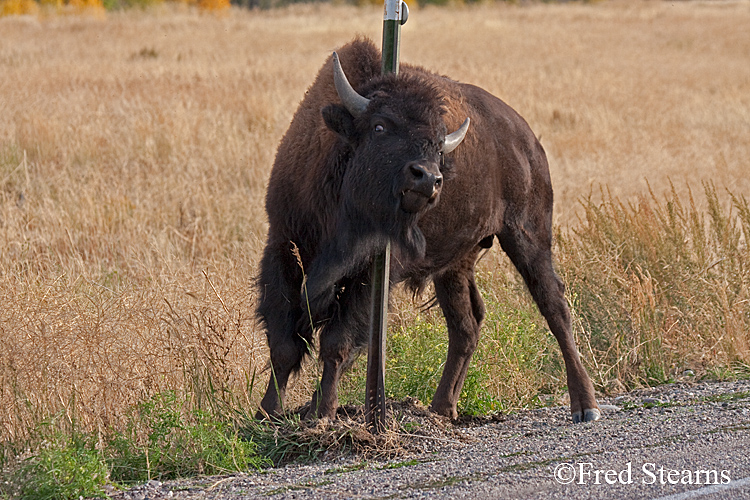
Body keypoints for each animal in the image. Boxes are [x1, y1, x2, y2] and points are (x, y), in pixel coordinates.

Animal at [256, 37, 604, 424]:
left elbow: (337, 342)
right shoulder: (283, 247)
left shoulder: (373, 273)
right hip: (457, 263)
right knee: (467, 324)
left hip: (529, 235)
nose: (428, 178)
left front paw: (322, 413)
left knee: (554, 306)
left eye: (438, 144)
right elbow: (285, 343)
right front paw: (266, 414)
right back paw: (442, 408)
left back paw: (586, 406)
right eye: (379, 127)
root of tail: (527, 139)